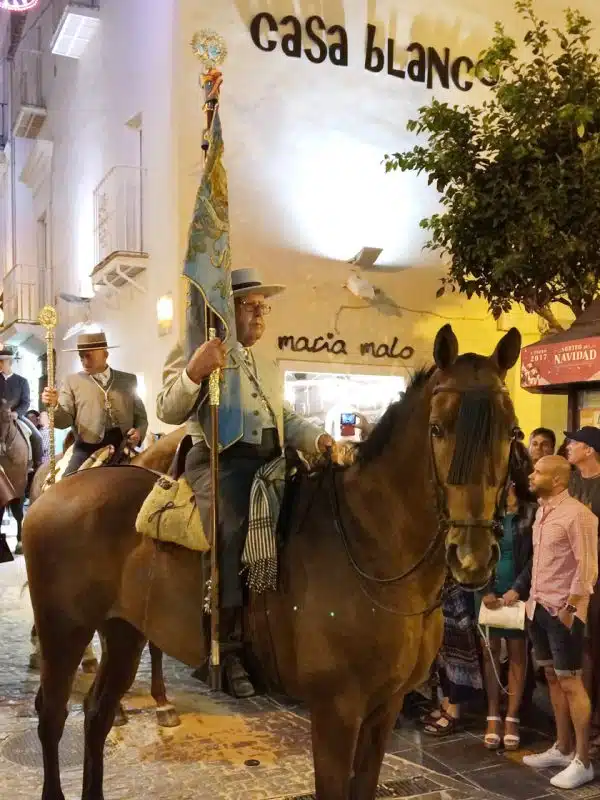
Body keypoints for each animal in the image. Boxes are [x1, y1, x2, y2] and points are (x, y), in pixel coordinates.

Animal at [23, 324, 520, 800]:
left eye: (511, 432)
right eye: (437, 428)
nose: (471, 556)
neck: (372, 550)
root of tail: (52, 492)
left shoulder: (385, 708)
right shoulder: (336, 712)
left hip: (124, 632)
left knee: (97, 714)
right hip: (64, 632)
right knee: (52, 716)